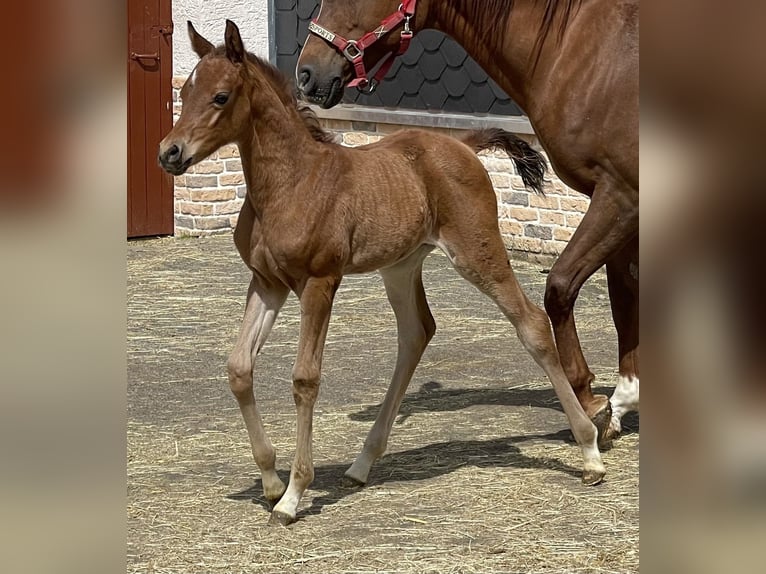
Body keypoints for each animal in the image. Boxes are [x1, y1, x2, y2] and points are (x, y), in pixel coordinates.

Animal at [160, 21, 608, 528]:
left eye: (220, 96)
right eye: (186, 90)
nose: (169, 153)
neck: (290, 183)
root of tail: (462, 145)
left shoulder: (319, 282)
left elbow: (305, 378)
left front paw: (293, 494)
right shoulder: (268, 282)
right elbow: (238, 367)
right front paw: (271, 480)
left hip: (477, 252)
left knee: (529, 322)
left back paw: (590, 453)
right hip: (400, 266)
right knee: (416, 331)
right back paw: (361, 465)